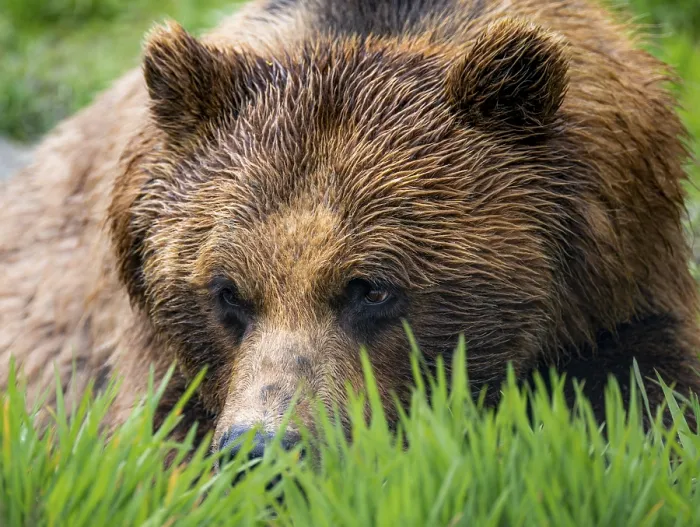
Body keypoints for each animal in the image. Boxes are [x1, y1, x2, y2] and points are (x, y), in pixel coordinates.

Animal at [1, 0, 699, 456]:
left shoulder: (619, 294)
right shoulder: (155, 355)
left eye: (371, 287)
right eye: (226, 292)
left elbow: (649, 403)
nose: (262, 447)